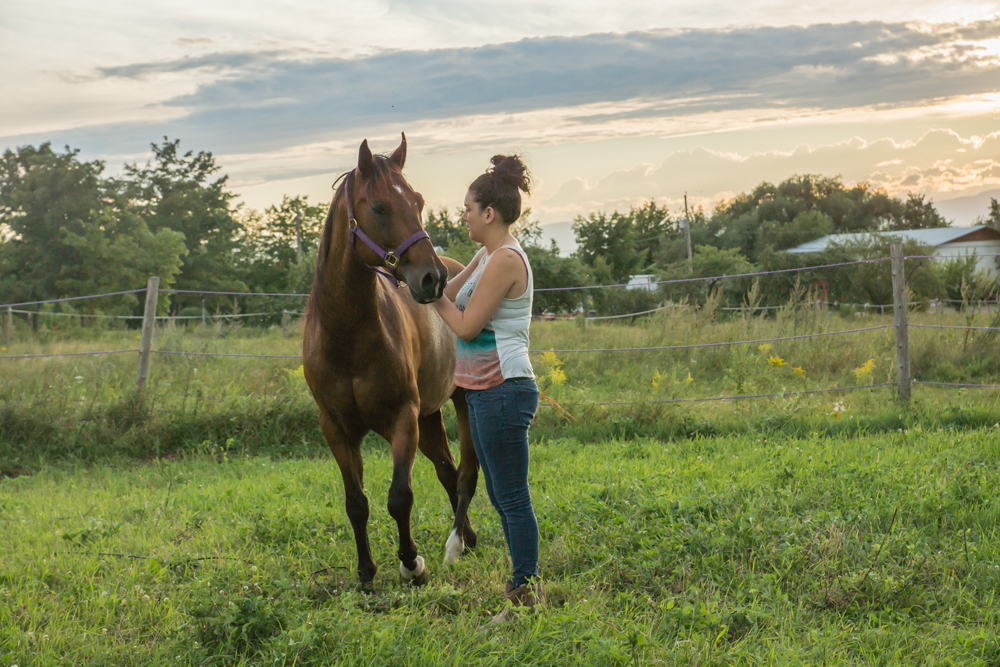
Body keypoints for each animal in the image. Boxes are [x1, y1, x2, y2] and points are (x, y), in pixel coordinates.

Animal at [302, 133, 478, 588]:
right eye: (380, 207)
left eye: (417, 201)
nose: (432, 279)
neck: (347, 337)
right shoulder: (336, 429)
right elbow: (356, 503)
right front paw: (366, 572)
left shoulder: (403, 418)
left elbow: (400, 497)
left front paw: (411, 563)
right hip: (430, 417)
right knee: (449, 471)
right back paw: (467, 539)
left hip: (459, 404)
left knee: (465, 473)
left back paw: (459, 541)